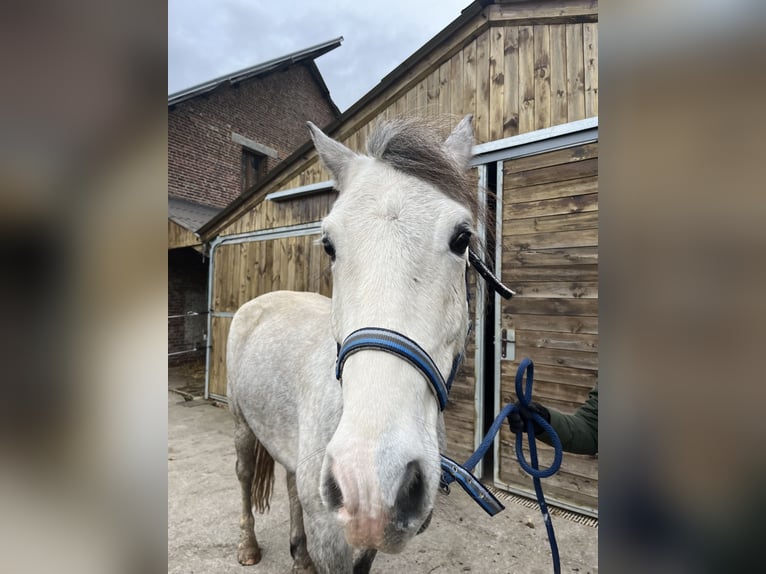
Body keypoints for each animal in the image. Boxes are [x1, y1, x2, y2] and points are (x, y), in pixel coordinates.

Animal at [225, 115, 484, 572]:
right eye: (329, 244)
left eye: (461, 238)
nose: (369, 481)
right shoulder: (333, 537)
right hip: (242, 424)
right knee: (243, 474)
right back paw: (249, 547)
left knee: (290, 482)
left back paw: (299, 555)